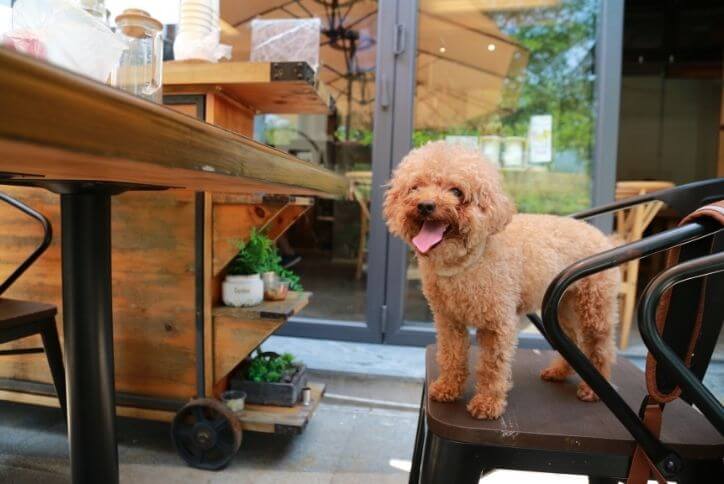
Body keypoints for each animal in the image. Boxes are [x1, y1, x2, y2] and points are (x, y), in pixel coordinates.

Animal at [382, 142, 620, 418]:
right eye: (415, 187)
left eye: (456, 191)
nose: (425, 205)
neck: (465, 262)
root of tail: (602, 236)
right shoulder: (448, 320)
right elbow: (451, 355)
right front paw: (448, 388)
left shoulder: (497, 324)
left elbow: (491, 367)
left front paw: (487, 403)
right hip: (563, 308)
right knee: (574, 341)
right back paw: (558, 372)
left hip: (594, 307)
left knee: (600, 347)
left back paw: (593, 389)